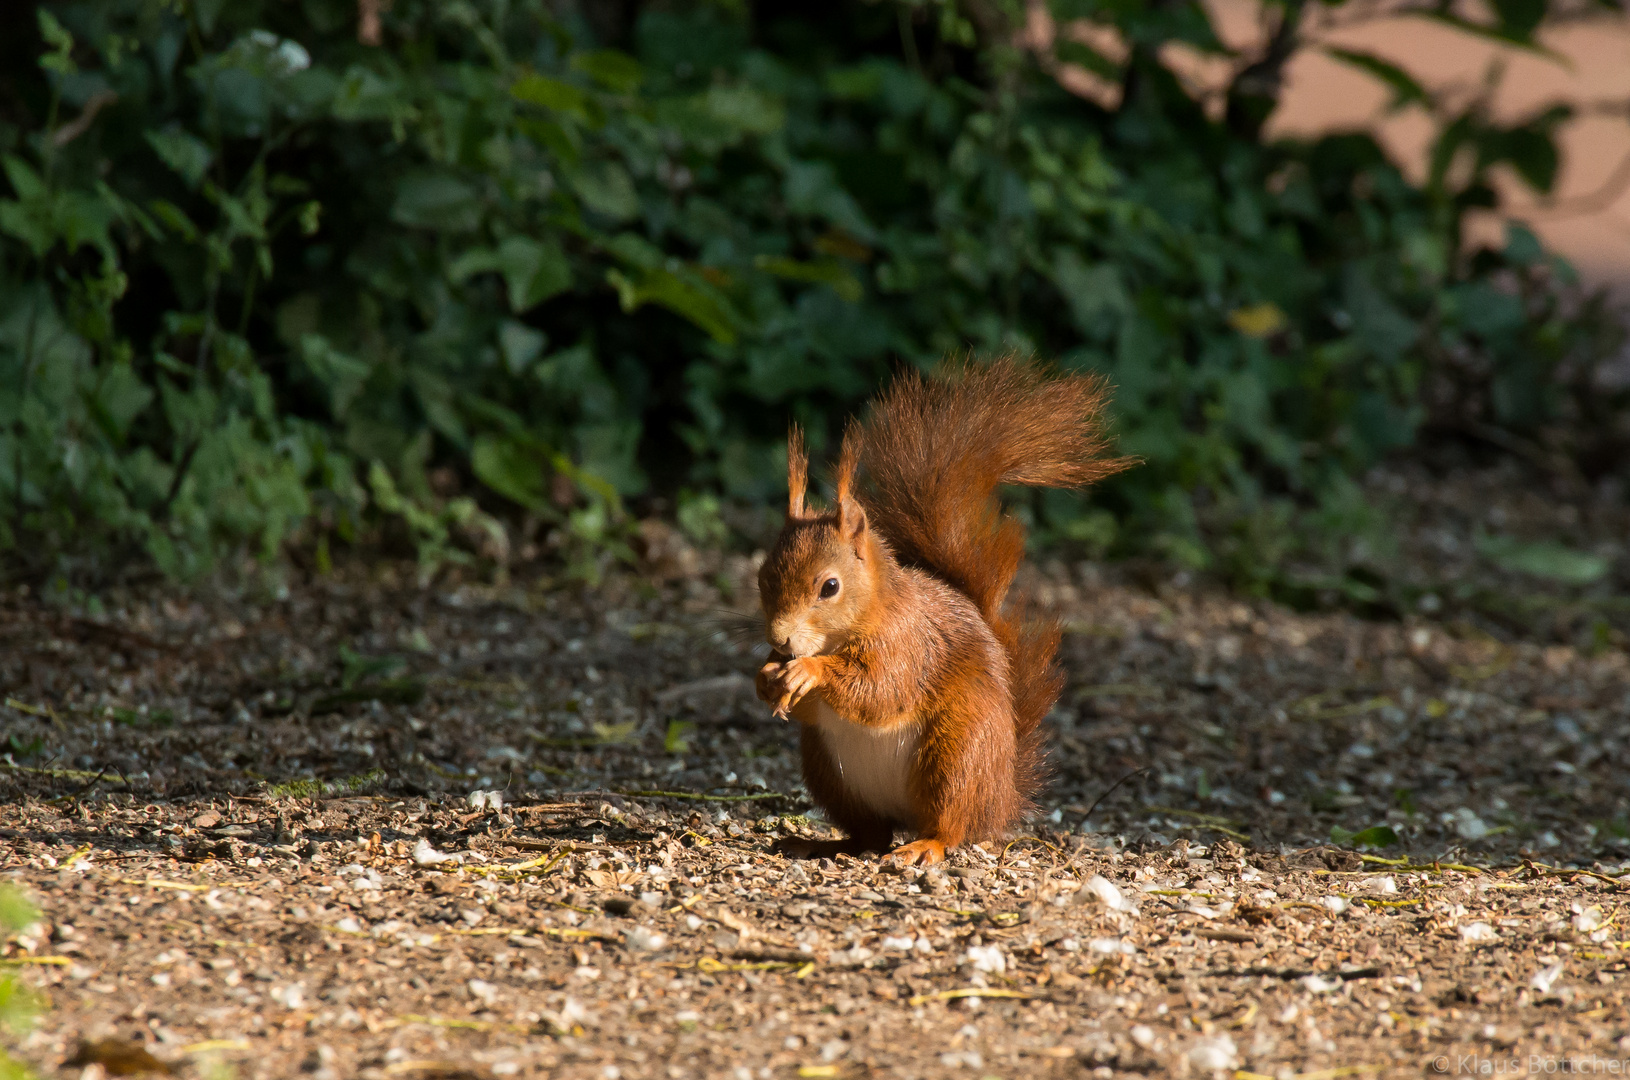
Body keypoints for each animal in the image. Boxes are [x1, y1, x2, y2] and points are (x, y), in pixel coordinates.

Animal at [753, 358, 1127, 866]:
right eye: (761, 578)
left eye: (830, 587)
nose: (779, 638)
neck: (870, 613)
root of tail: (1002, 799)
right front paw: (766, 678)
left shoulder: (908, 644)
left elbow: (880, 690)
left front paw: (808, 670)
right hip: (830, 772)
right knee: (870, 834)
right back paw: (819, 842)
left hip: (956, 755)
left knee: (950, 828)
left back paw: (923, 846)